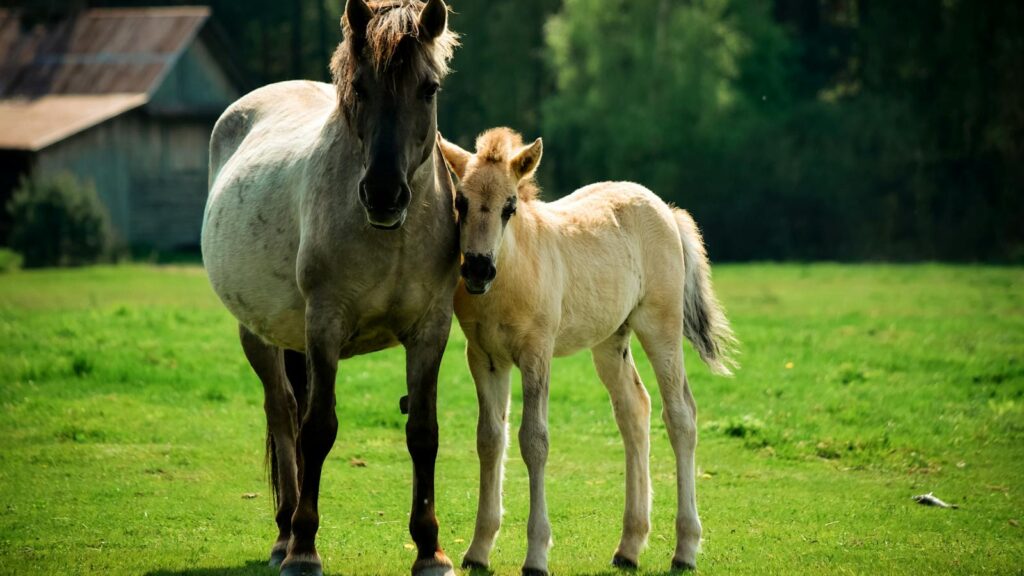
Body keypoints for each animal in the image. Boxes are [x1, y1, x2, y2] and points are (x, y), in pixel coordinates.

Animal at [200, 2, 460, 575]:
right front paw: (304, 548)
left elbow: (424, 432)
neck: (392, 236)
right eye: (360, 87)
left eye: (429, 88)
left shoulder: (430, 329)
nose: (384, 194)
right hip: (259, 334)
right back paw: (283, 535)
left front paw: (429, 549)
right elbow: (317, 429)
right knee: (282, 415)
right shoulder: (324, 323)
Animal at [437, 128, 737, 575]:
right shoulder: (484, 358)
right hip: (611, 341)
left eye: (510, 206)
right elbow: (490, 440)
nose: (477, 268)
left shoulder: (536, 354)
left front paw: (536, 555)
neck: (514, 271)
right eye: (461, 202)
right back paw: (629, 547)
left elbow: (534, 440)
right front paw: (478, 550)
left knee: (680, 415)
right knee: (634, 410)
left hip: (661, 328)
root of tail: (665, 210)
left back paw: (685, 549)